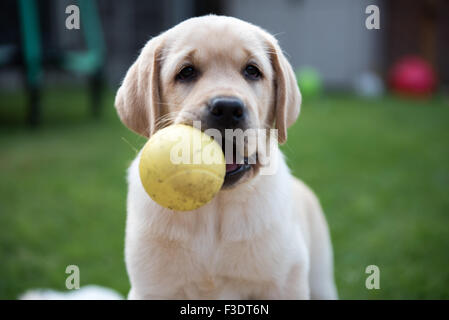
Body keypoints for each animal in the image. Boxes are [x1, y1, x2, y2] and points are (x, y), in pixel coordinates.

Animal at [115, 15, 336, 300]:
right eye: (186, 72)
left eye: (252, 71)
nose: (228, 108)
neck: (214, 208)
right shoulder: (152, 288)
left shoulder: (285, 283)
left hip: (321, 279)